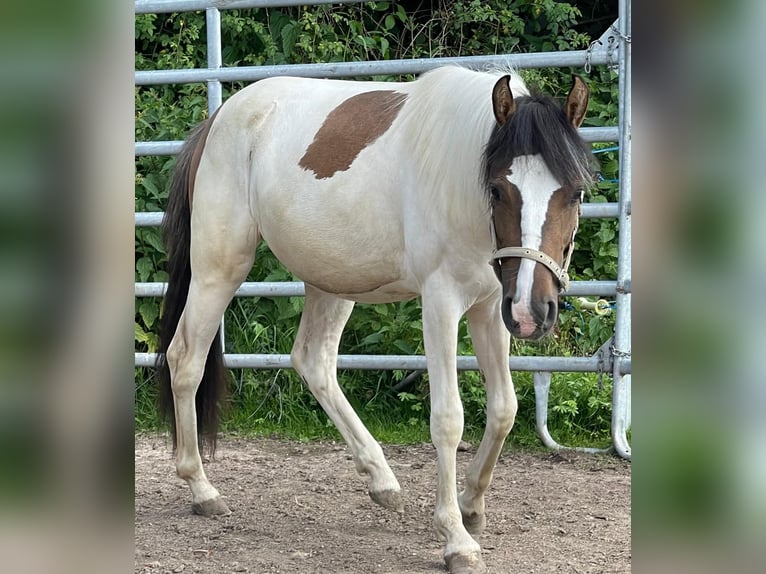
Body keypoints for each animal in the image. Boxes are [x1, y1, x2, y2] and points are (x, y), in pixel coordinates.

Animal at [159, 68, 596, 574]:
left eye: (575, 193)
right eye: (497, 189)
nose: (532, 312)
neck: (458, 176)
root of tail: (218, 121)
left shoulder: (491, 307)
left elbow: (504, 409)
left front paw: (471, 506)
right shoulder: (442, 302)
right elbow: (448, 419)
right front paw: (456, 538)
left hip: (331, 282)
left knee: (313, 361)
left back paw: (382, 481)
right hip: (219, 269)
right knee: (185, 359)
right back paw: (202, 489)